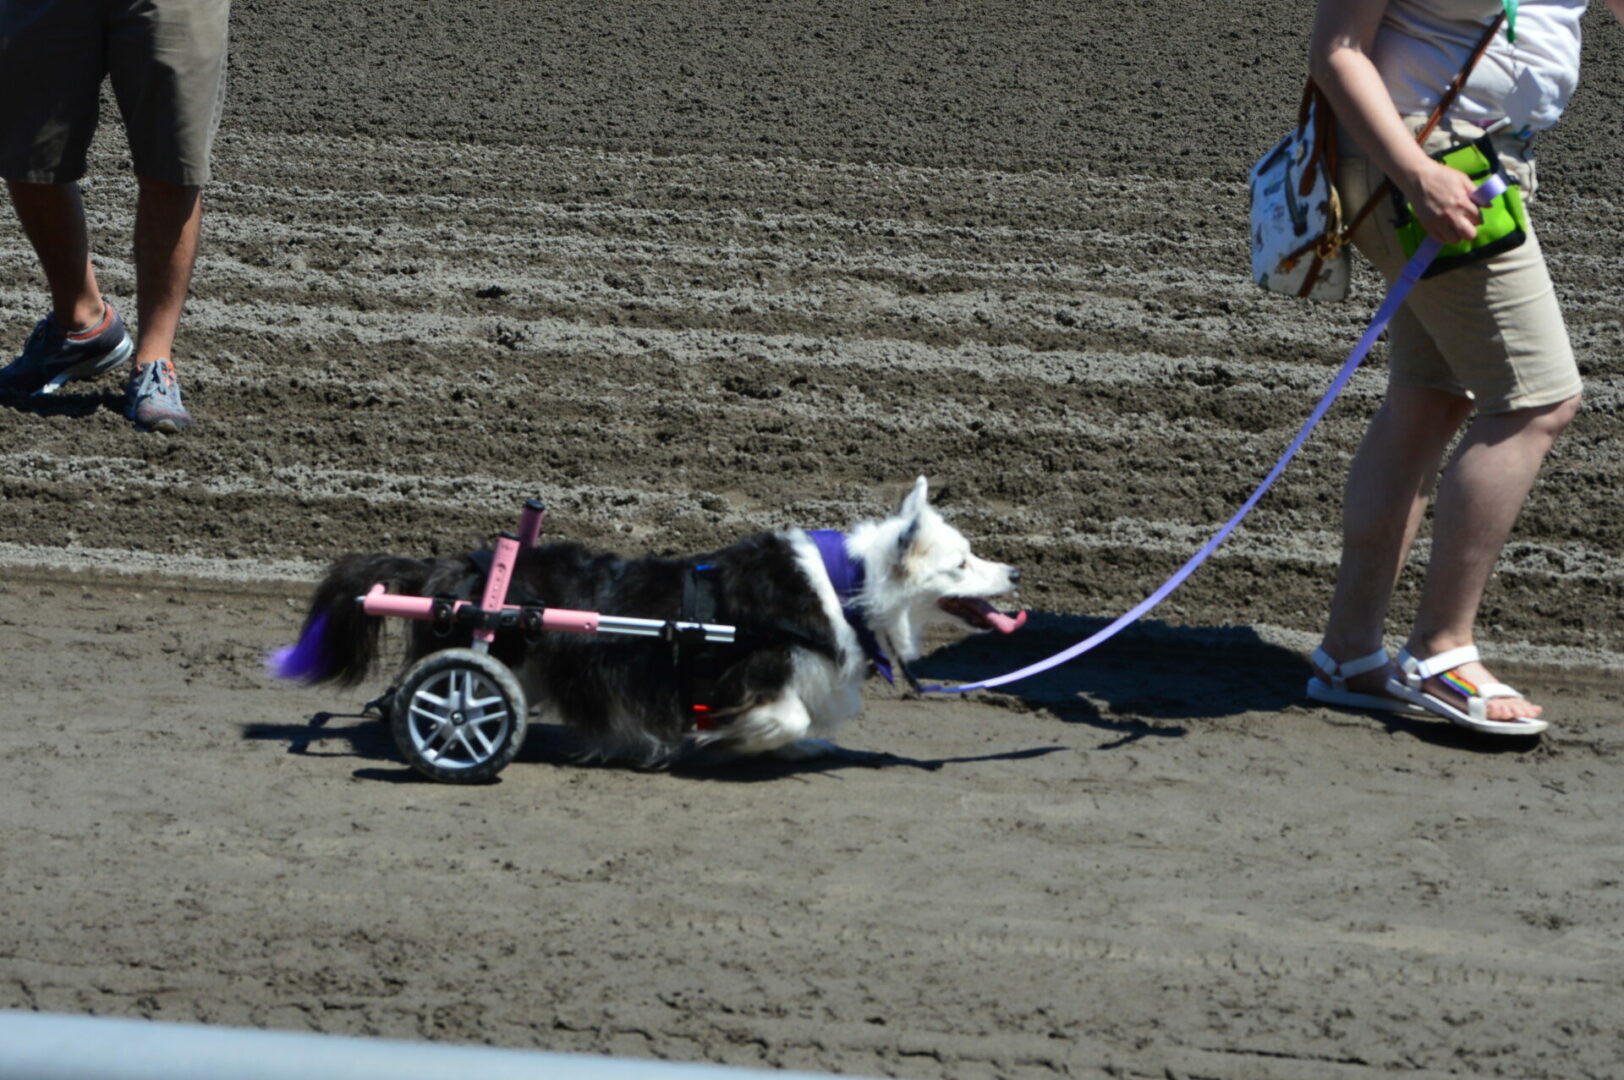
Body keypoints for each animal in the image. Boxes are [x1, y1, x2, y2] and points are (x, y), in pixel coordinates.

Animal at [277, 477, 1024, 767]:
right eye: (961, 563)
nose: (1016, 576)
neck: (846, 590)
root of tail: (460, 567)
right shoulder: (754, 666)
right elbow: (783, 715)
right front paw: (737, 738)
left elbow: (807, 721)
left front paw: (799, 747)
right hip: (484, 652)